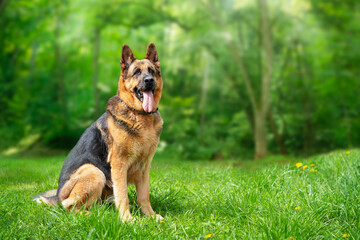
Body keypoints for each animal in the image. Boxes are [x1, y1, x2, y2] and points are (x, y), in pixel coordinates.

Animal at [33, 42, 163, 221]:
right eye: (137, 72)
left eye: (151, 71)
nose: (149, 80)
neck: (139, 115)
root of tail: (58, 195)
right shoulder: (119, 165)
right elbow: (123, 195)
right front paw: (127, 220)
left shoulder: (144, 167)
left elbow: (144, 196)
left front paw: (150, 216)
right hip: (94, 172)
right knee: (69, 206)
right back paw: (90, 215)